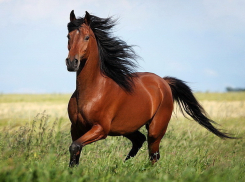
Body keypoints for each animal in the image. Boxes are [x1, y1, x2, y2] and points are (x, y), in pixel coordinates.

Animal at [66, 10, 234, 168]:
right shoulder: (76, 128)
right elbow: (75, 153)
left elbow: (74, 147)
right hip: (127, 128)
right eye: (68, 36)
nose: (72, 62)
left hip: (155, 129)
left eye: (87, 37)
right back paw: (125, 165)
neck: (93, 91)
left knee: (153, 155)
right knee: (140, 141)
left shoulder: (101, 129)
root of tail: (163, 82)